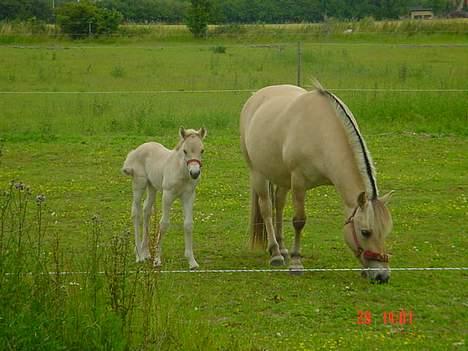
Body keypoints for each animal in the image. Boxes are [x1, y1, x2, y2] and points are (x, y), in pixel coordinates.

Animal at [122, 128, 207, 270]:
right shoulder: (167, 195)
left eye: (202, 150)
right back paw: (139, 255)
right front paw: (157, 260)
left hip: (152, 187)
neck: (181, 171)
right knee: (136, 213)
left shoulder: (189, 196)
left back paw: (145, 253)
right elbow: (164, 224)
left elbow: (188, 224)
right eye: (185, 151)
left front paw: (192, 261)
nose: (194, 173)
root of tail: (135, 151)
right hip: (139, 184)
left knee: (146, 210)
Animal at [239, 82, 394, 284]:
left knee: (279, 205)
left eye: (385, 231)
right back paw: (275, 253)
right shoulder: (298, 182)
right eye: (365, 232)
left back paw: (282, 248)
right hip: (258, 173)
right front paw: (296, 263)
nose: (382, 276)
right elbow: (299, 221)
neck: (321, 133)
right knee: (266, 209)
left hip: (282, 178)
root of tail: (255, 97)